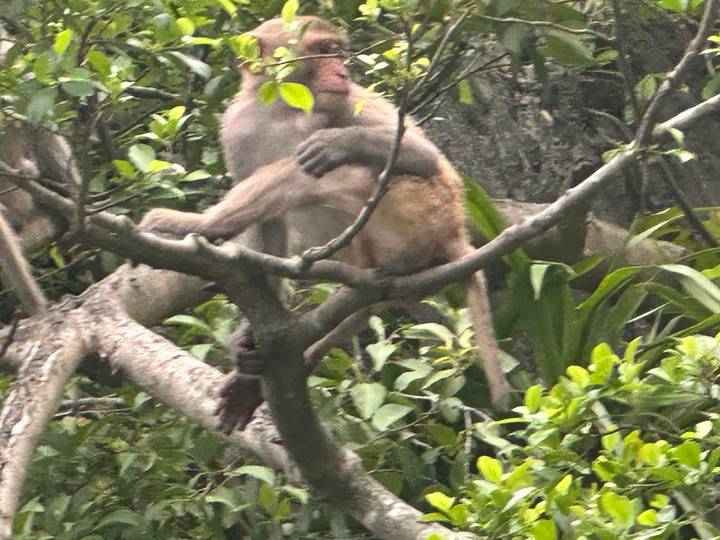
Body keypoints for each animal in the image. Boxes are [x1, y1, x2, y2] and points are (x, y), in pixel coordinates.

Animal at [139, 16, 511, 431]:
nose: (342, 71)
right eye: (322, 50)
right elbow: (269, 229)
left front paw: (340, 143)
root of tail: (456, 233)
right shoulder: (238, 128)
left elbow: (424, 156)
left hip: (421, 210)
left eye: (337, 51)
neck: (283, 111)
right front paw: (250, 335)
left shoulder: (348, 101)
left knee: (311, 173)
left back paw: (207, 226)